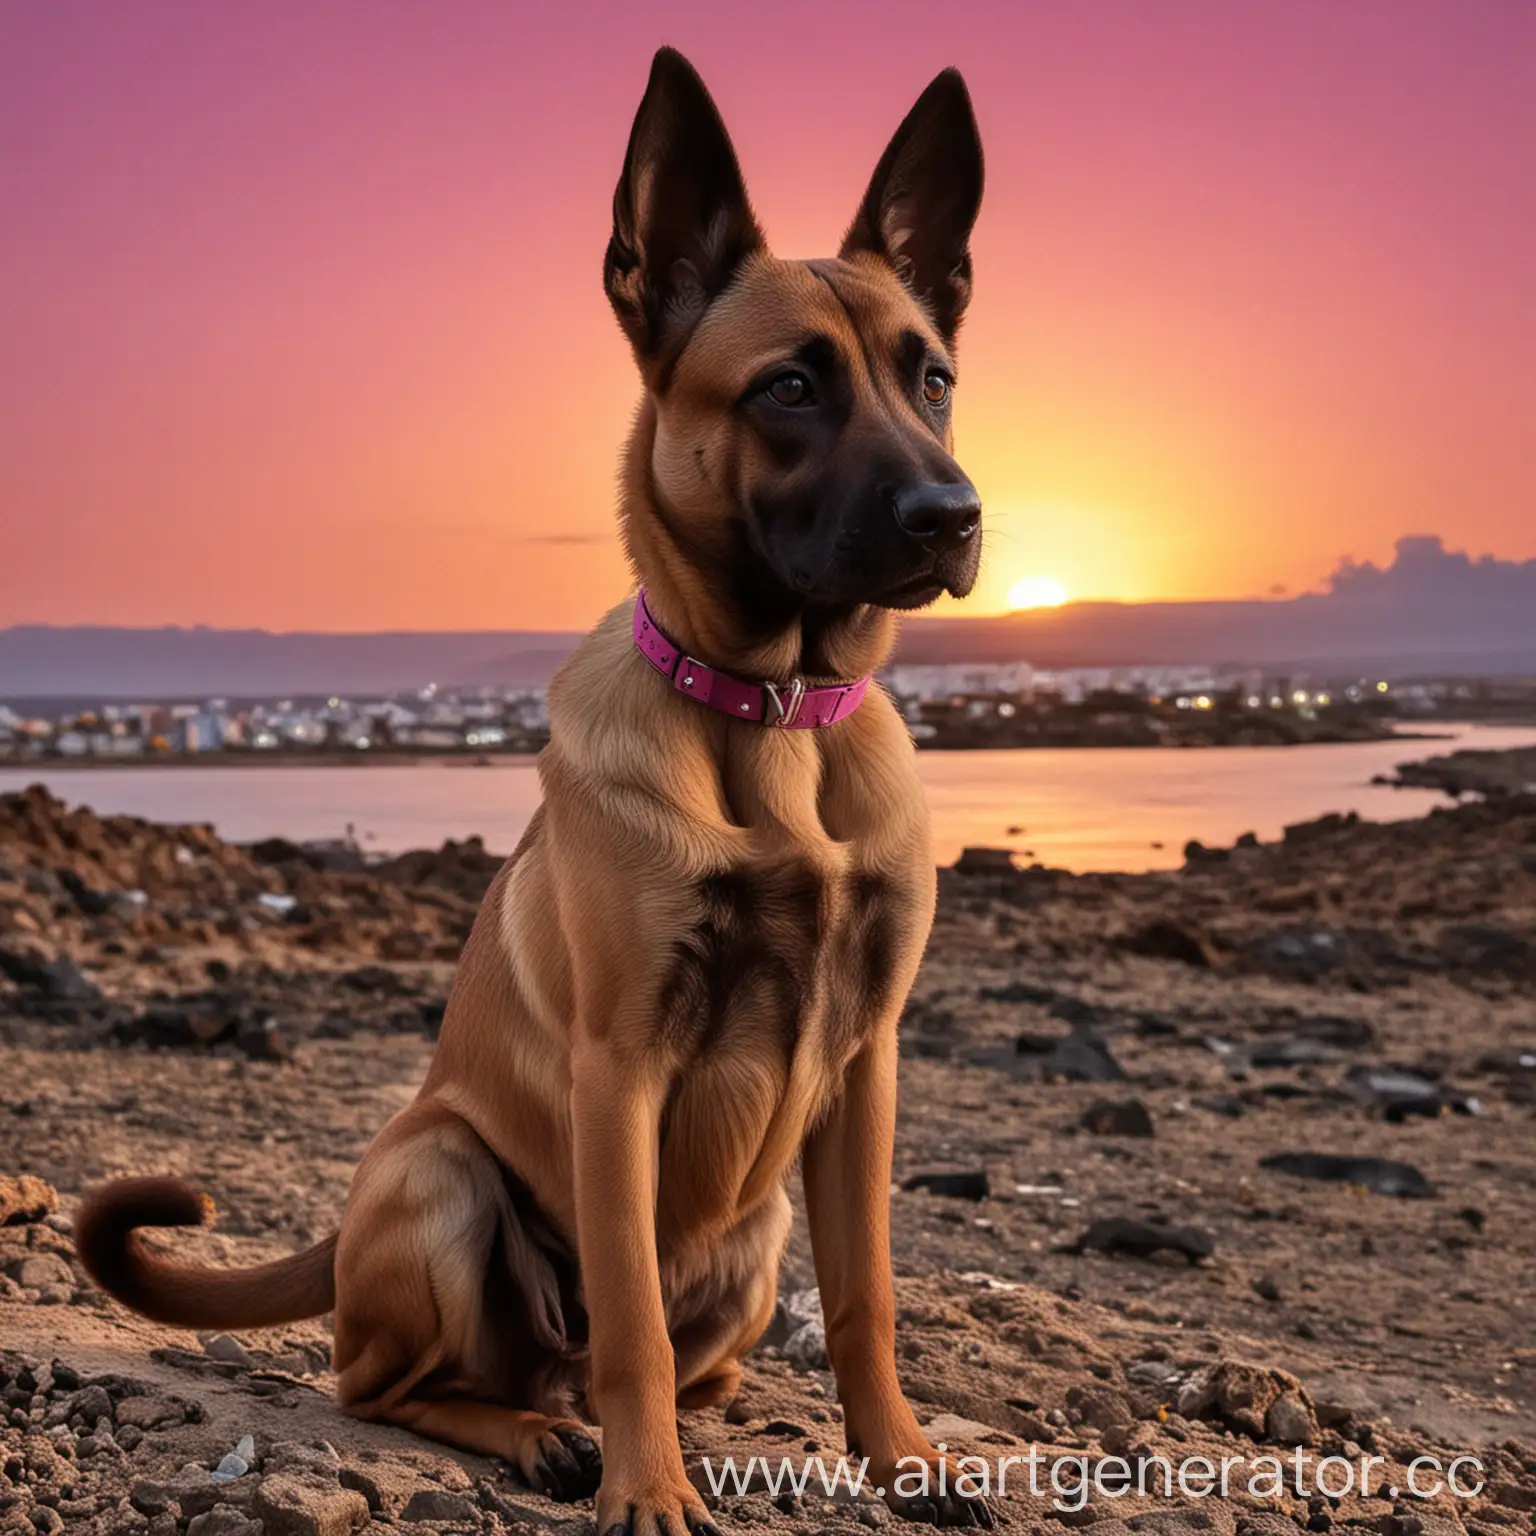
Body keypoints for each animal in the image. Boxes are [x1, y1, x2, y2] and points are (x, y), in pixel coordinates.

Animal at [77, 48, 989, 1536]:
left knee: (689, 1363)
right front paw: (648, 1491)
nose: (951, 517)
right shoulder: (616, 1072)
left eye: (936, 377)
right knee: (390, 1384)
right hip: (439, 1173)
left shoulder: (867, 1068)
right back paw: (546, 1436)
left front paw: (902, 1456)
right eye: (790, 387)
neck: (775, 715)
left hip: (757, 1248)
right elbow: (626, 1318)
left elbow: (866, 1296)